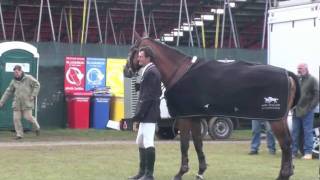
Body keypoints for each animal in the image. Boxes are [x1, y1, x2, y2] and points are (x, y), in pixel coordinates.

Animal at [124, 32, 300, 180]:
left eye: (133, 50)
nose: (126, 70)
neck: (179, 71)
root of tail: (287, 74)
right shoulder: (194, 117)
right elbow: (197, 143)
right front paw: (200, 171)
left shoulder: (184, 118)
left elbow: (184, 144)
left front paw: (180, 172)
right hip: (281, 118)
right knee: (289, 142)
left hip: (276, 119)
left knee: (285, 143)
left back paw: (283, 175)